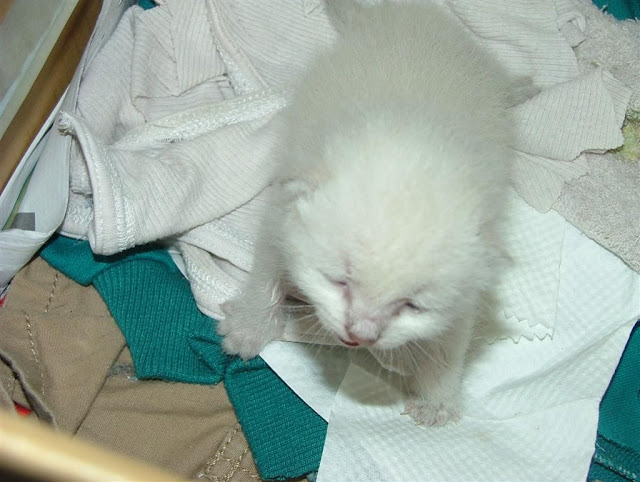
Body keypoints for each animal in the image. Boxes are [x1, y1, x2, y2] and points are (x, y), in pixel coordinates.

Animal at [217, 0, 517, 426]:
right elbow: (265, 271)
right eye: (339, 281)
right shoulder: (283, 210)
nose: (360, 336)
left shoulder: (468, 284)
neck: (412, 139)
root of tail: (404, 16)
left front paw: (437, 400)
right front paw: (248, 327)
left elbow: (451, 339)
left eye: (413, 305)